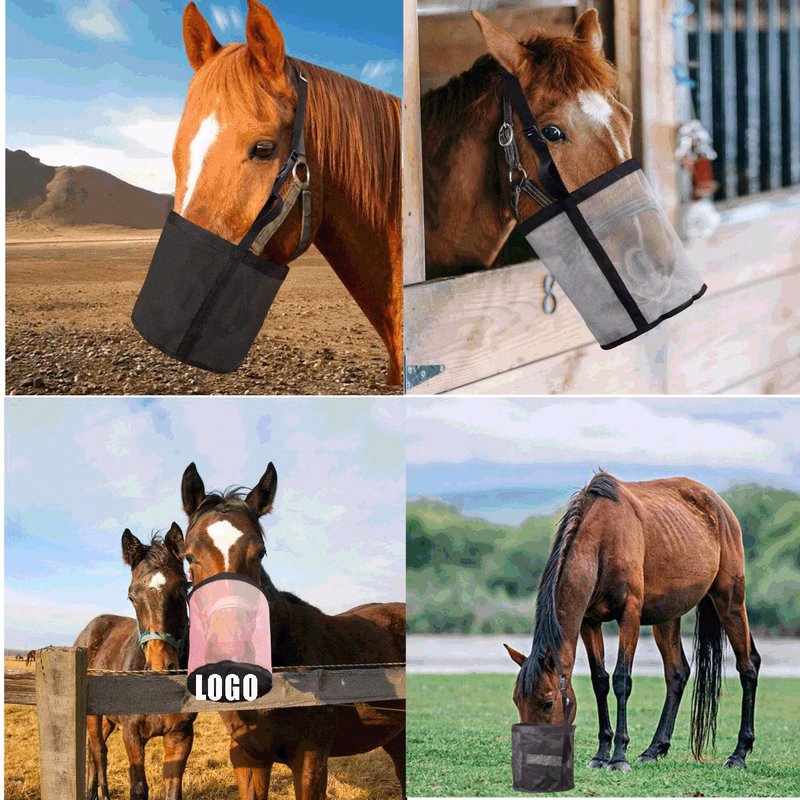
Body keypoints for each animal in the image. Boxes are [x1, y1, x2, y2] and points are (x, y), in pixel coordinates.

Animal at [74, 524, 196, 800]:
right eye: (132, 596)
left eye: (182, 589)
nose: (161, 668)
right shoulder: (132, 734)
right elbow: (138, 788)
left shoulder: (180, 735)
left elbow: (173, 789)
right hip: (93, 717)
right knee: (99, 752)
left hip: (109, 719)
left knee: (93, 752)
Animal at [504, 471, 760, 773]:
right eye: (517, 701)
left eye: (547, 702)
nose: (534, 759)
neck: (603, 540)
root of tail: (720, 507)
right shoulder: (589, 622)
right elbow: (600, 681)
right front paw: (601, 754)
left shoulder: (629, 616)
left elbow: (621, 680)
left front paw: (618, 756)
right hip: (667, 617)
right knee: (677, 673)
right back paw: (653, 749)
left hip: (730, 602)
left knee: (748, 666)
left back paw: (739, 753)